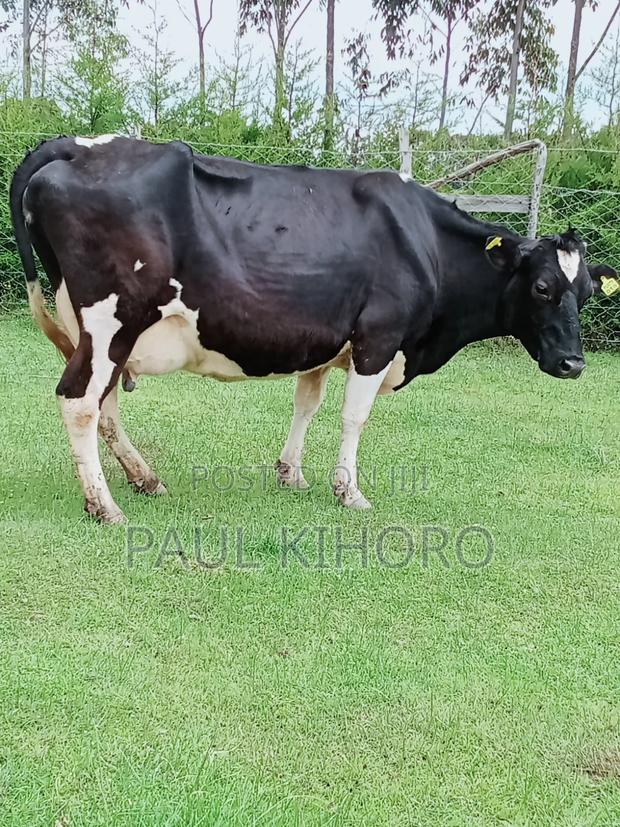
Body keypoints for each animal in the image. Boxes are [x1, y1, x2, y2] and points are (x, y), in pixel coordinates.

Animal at [9, 135, 617, 524]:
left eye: (588, 290)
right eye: (542, 288)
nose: (573, 364)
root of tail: (76, 145)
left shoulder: (325, 341)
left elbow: (307, 403)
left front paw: (291, 473)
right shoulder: (378, 339)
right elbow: (354, 416)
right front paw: (348, 490)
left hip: (103, 333)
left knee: (104, 402)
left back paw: (144, 478)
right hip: (110, 319)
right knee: (79, 400)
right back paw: (104, 505)